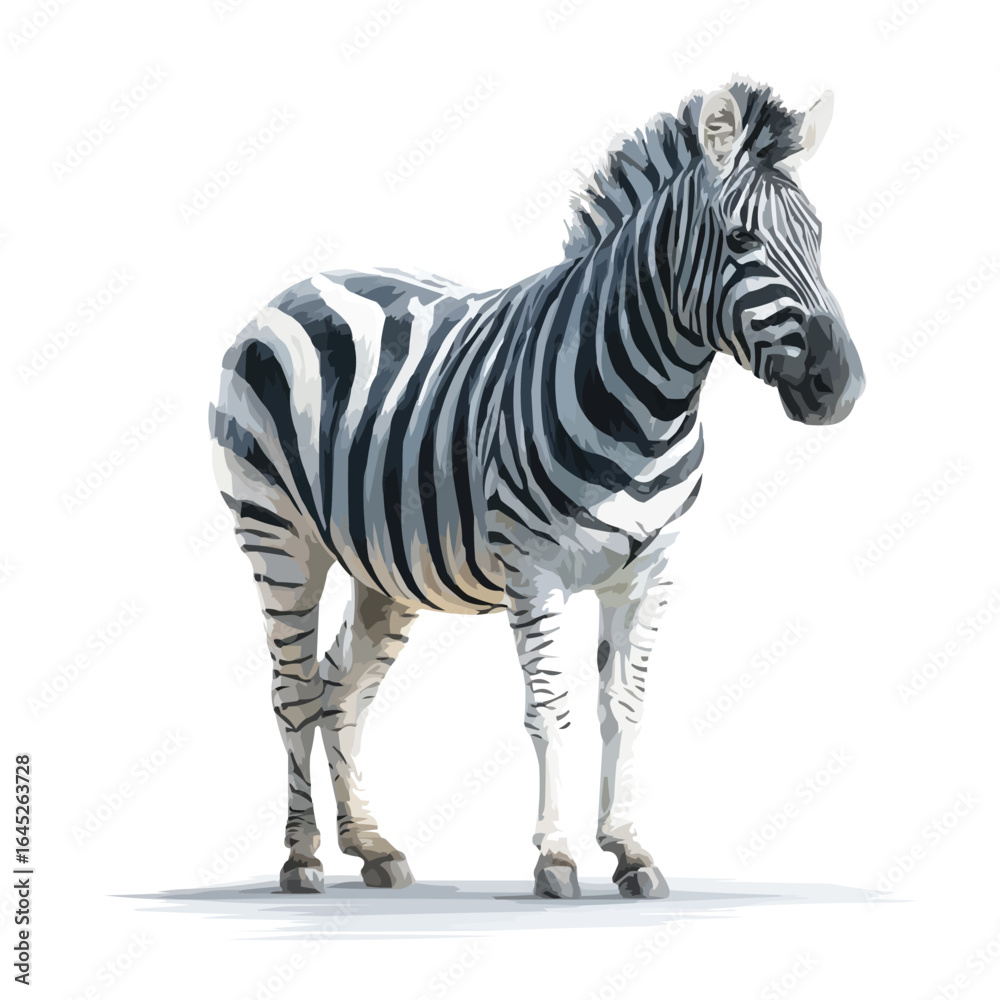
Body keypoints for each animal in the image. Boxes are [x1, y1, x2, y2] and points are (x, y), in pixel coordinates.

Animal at [209, 78, 865, 900]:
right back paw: (302, 859)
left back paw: (372, 846)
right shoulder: (533, 572)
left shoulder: (650, 574)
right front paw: (555, 857)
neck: (647, 407)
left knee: (342, 691)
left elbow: (624, 708)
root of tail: (301, 283)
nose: (840, 385)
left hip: (381, 568)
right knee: (295, 690)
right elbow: (549, 710)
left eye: (819, 238)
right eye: (742, 241)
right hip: (279, 538)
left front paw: (629, 849)